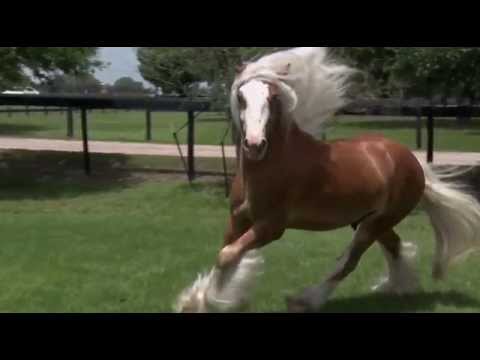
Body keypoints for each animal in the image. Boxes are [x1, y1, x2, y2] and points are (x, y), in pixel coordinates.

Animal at [175, 47, 480, 312]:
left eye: (272, 97)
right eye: (241, 96)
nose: (254, 144)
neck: (271, 166)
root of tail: (413, 162)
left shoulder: (271, 227)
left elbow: (228, 255)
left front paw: (211, 300)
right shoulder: (238, 218)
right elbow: (225, 253)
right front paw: (196, 301)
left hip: (374, 224)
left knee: (349, 262)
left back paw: (305, 300)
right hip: (371, 220)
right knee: (394, 247)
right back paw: (398, 288)